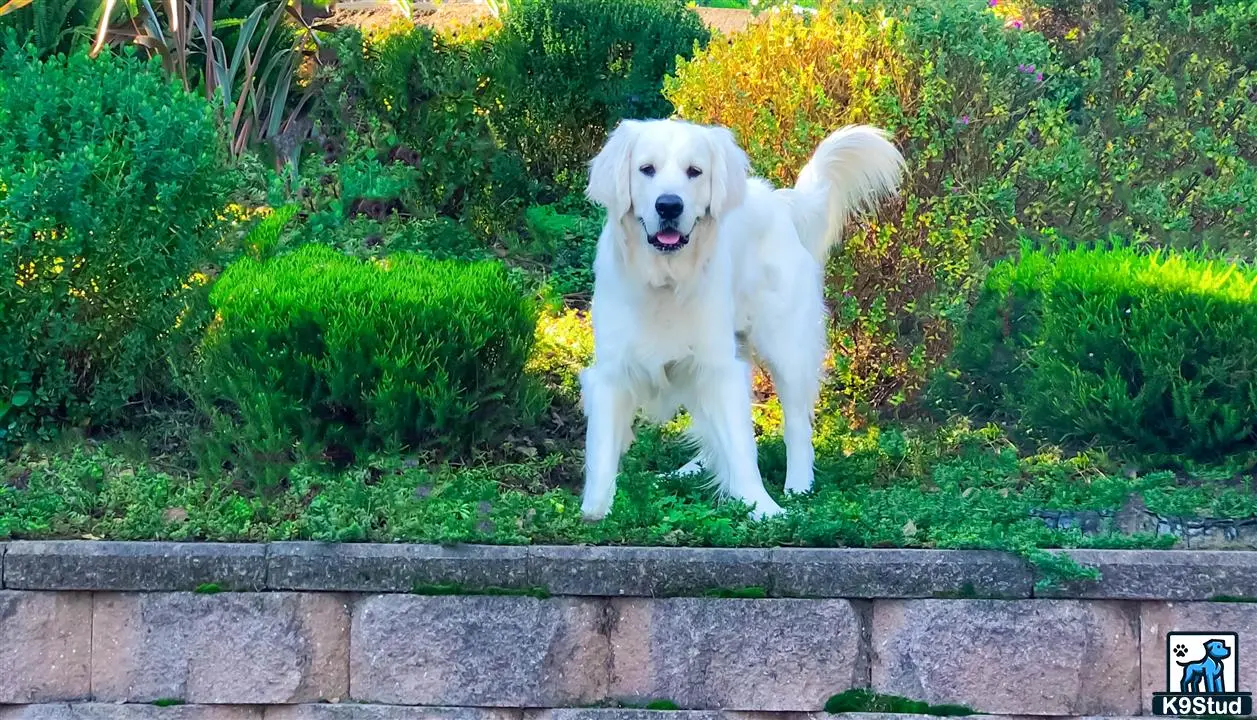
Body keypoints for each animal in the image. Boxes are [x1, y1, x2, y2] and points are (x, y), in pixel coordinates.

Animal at [578, 120, 905, 520]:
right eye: (646, 169)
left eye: (694, 171)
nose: (669, 205)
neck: (666, 281)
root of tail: (781, 202)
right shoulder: (611, 372)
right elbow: (602, 452)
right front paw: (595, 513)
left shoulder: (721, 368)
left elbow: (741, 445)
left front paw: (763, 508)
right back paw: (685, 472)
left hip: (786, 348)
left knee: (797, 427)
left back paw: (798, 488)